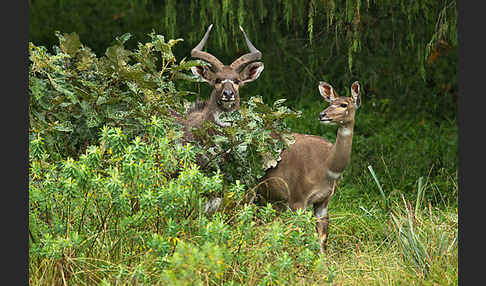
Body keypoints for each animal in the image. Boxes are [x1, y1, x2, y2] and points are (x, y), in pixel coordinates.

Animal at [258, 80, 360, 252]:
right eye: (330, 103)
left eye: (344, 104)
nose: (322, 115)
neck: (326, 166)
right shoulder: (297, 198)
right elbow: (301, 235)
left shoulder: (323, 201)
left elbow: (322, 238)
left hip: (274, 198)